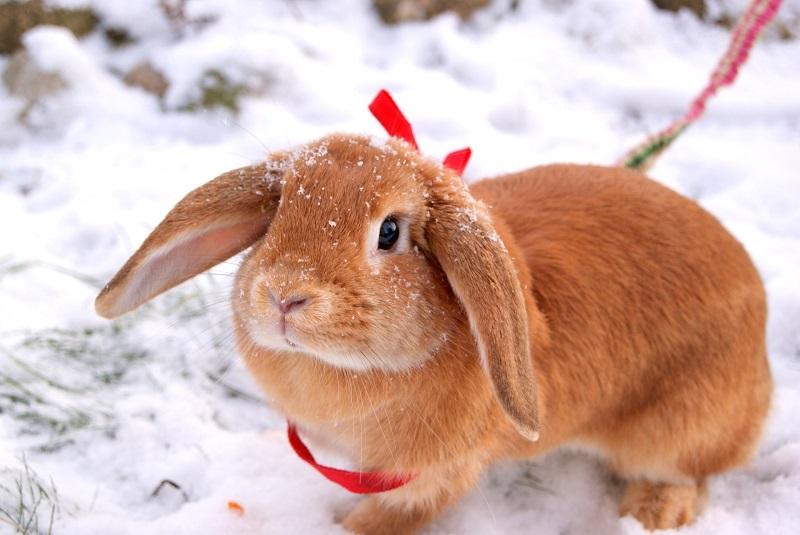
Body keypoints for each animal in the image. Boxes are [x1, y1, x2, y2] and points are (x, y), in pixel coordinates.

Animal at [95, 133, 772, 534]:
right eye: (279, 213)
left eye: (390, 232)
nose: (284, 294)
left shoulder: (430, 475)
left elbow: (387, 519)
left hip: (675, 427)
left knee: (691, 470)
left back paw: (653, 511)